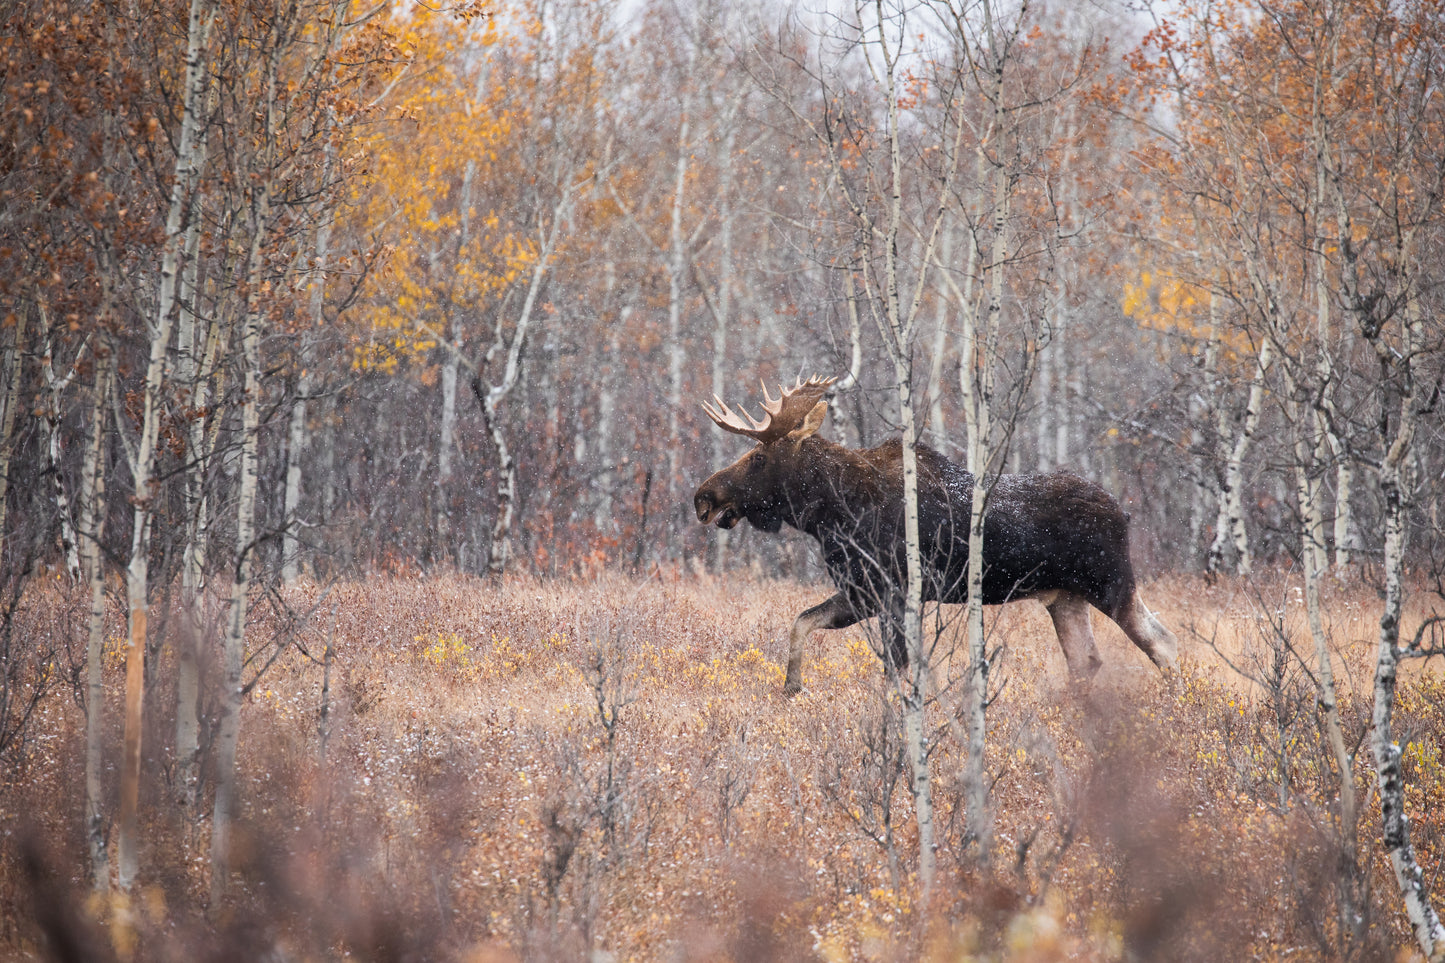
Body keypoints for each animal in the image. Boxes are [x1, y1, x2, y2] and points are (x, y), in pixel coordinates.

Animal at [693, 374, 1178, 695]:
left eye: (758, 458)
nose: (703, 496)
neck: (831, 512)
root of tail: (1124, 513)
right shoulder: (862, 588)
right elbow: (801, 622)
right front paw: (792, 686)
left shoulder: (892, 588)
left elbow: (895, 669)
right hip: (1065, 596)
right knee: (1088, 660)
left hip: (1110, 582)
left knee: (1160, 640)